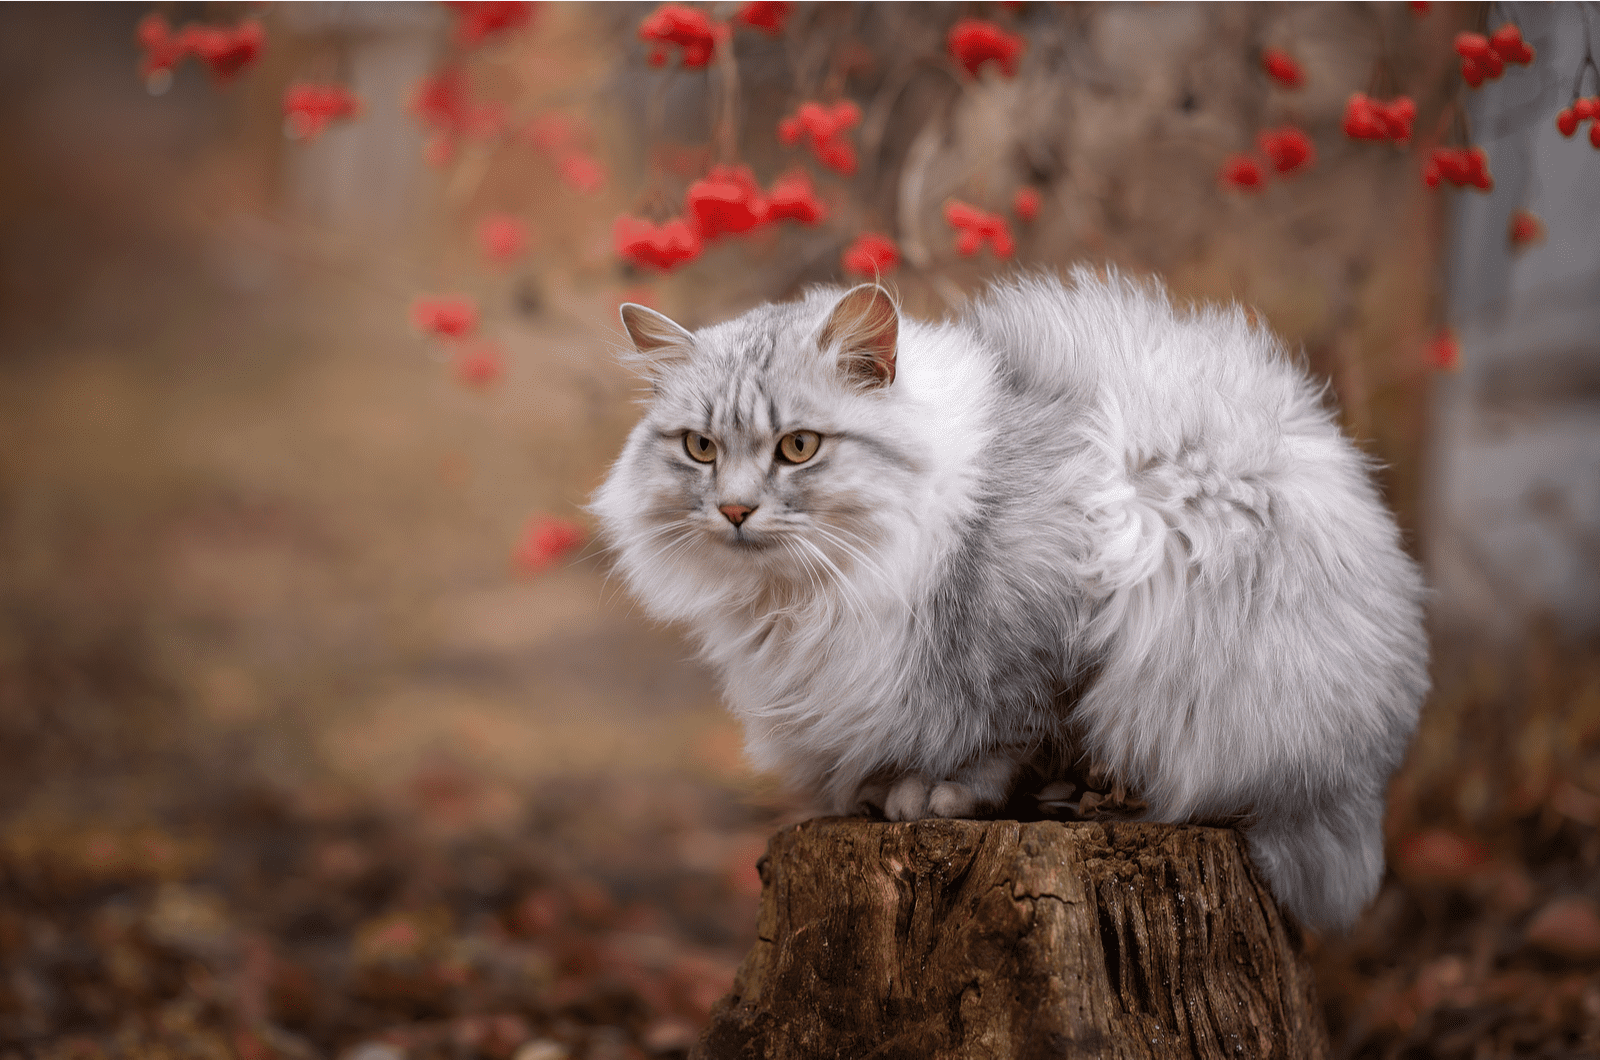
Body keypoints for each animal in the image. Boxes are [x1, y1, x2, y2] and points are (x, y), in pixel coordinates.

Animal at [588, 270, 1427, 935]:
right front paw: (888, 790)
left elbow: (1008, 734)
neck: (810, 589)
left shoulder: (1050, 628)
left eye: (799, 448)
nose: (733, 510)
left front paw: (942, 795)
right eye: (699, 448)